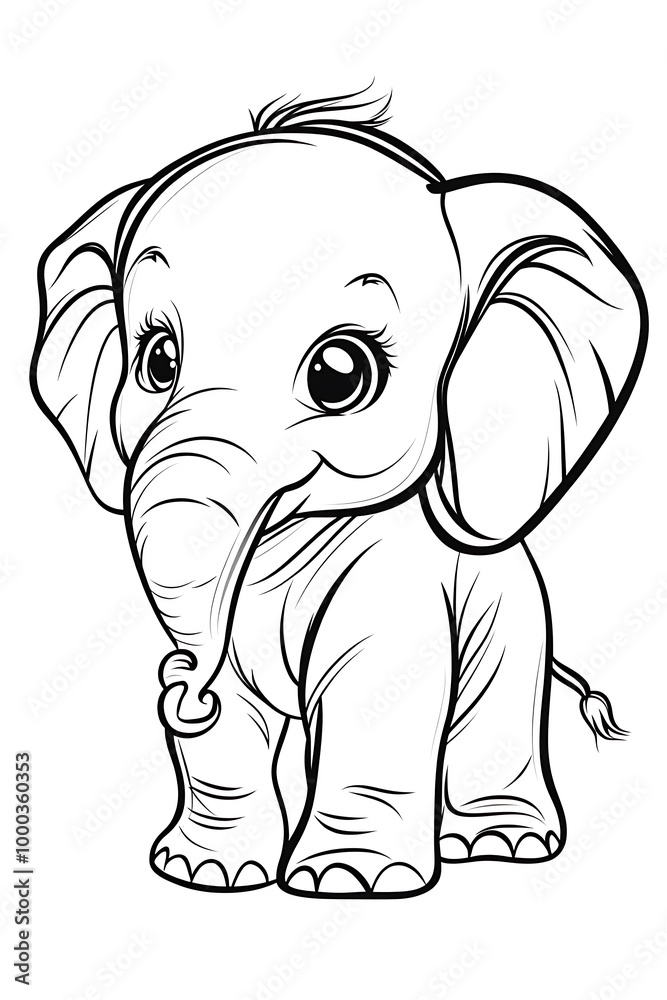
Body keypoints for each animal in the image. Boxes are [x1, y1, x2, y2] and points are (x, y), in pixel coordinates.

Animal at [32, 89, 647, 899]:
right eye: (157, 360)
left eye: (338, 374)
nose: (183, 688)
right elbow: (241, 722)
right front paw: (204, 872)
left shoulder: (396, 584)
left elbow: (372, 691)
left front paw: (349, 882)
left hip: (513, 616)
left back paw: (501, 844)